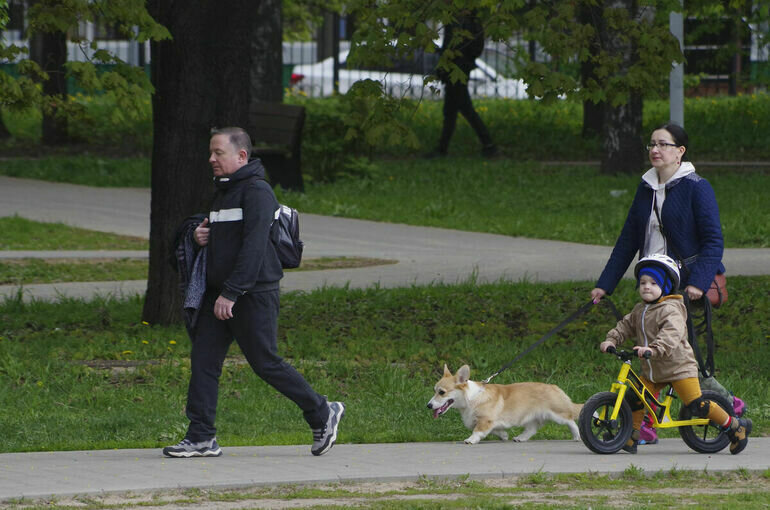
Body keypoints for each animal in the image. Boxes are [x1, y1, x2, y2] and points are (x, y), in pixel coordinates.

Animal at [426, 364, 584, 444]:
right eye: (434, 390)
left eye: (442, 392)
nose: (428, 406)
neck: (471, 398)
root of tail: (555, 387)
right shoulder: (487, 421)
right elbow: (493, 429)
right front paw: (504, 435)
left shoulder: (485, 420)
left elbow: (477, 430)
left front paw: (471, 440)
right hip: (532, 417)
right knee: (532, 429)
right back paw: (521, 438)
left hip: (557, 414)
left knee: (571, 420)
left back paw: (577, 436)